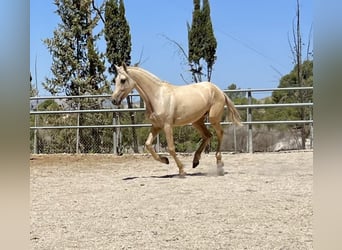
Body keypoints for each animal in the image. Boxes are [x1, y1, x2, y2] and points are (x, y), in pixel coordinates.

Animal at [111, 63, 240, 177]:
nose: (114, 100)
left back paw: (219, 164)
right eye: (115, 80)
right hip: (196, 121)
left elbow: (171, 148)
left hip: (213, 119)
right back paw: (195, 161)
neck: (157, 96)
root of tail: (219, 90)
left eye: (123, 80)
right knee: (208, 135)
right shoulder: (156, 126)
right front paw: (165, 160)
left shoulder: (167, 126)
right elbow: (148, 145)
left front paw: (182, 170)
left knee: (220, 133)